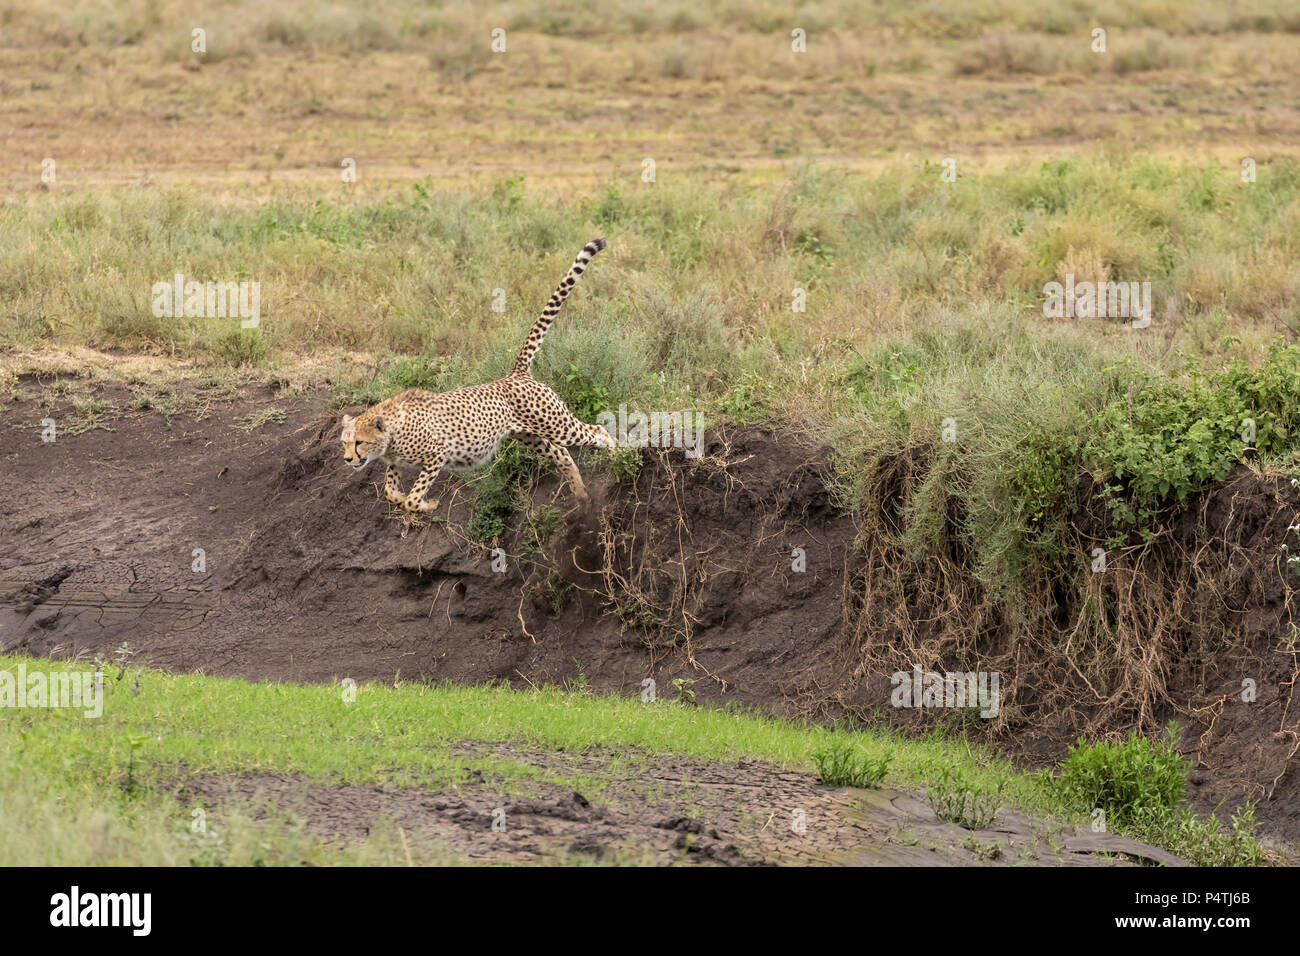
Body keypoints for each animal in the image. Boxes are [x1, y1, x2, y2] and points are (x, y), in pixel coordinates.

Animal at [340, 238, 613, 515]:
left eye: (359, 442)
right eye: (344, 443)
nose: (348, 459)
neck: (391, 434)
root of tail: (514, 374)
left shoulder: (438, 453)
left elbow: (412, 498)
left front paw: (428, 503)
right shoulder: (397, 462)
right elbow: (390, 492)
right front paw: (405, 498)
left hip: (556, 424)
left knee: (597, 431)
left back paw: (616, 456)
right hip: (530, 436)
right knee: (563, 454)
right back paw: (581, 495)